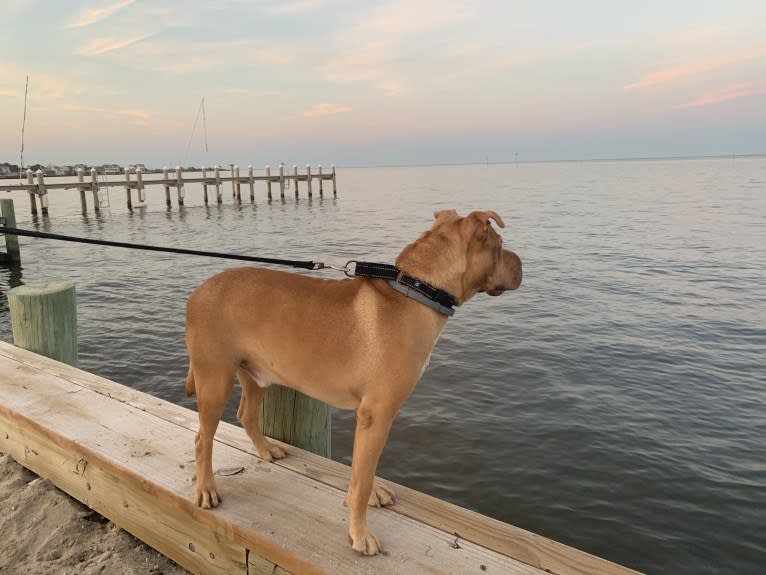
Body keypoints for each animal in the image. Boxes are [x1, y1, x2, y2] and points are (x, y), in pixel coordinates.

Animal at [184, 209, 524, 556]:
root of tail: (198, 292)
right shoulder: (377, 415)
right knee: (202, 439)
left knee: (246, 415)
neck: (418, 290)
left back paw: (266, 449)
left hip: (255, 376)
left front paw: (367, 497)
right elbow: (362, 478)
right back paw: (207, 488)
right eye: (500, 245)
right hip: (214, 381)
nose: (521, 263)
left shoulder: (368, 418)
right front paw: (360, 534)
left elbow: (361, 470)